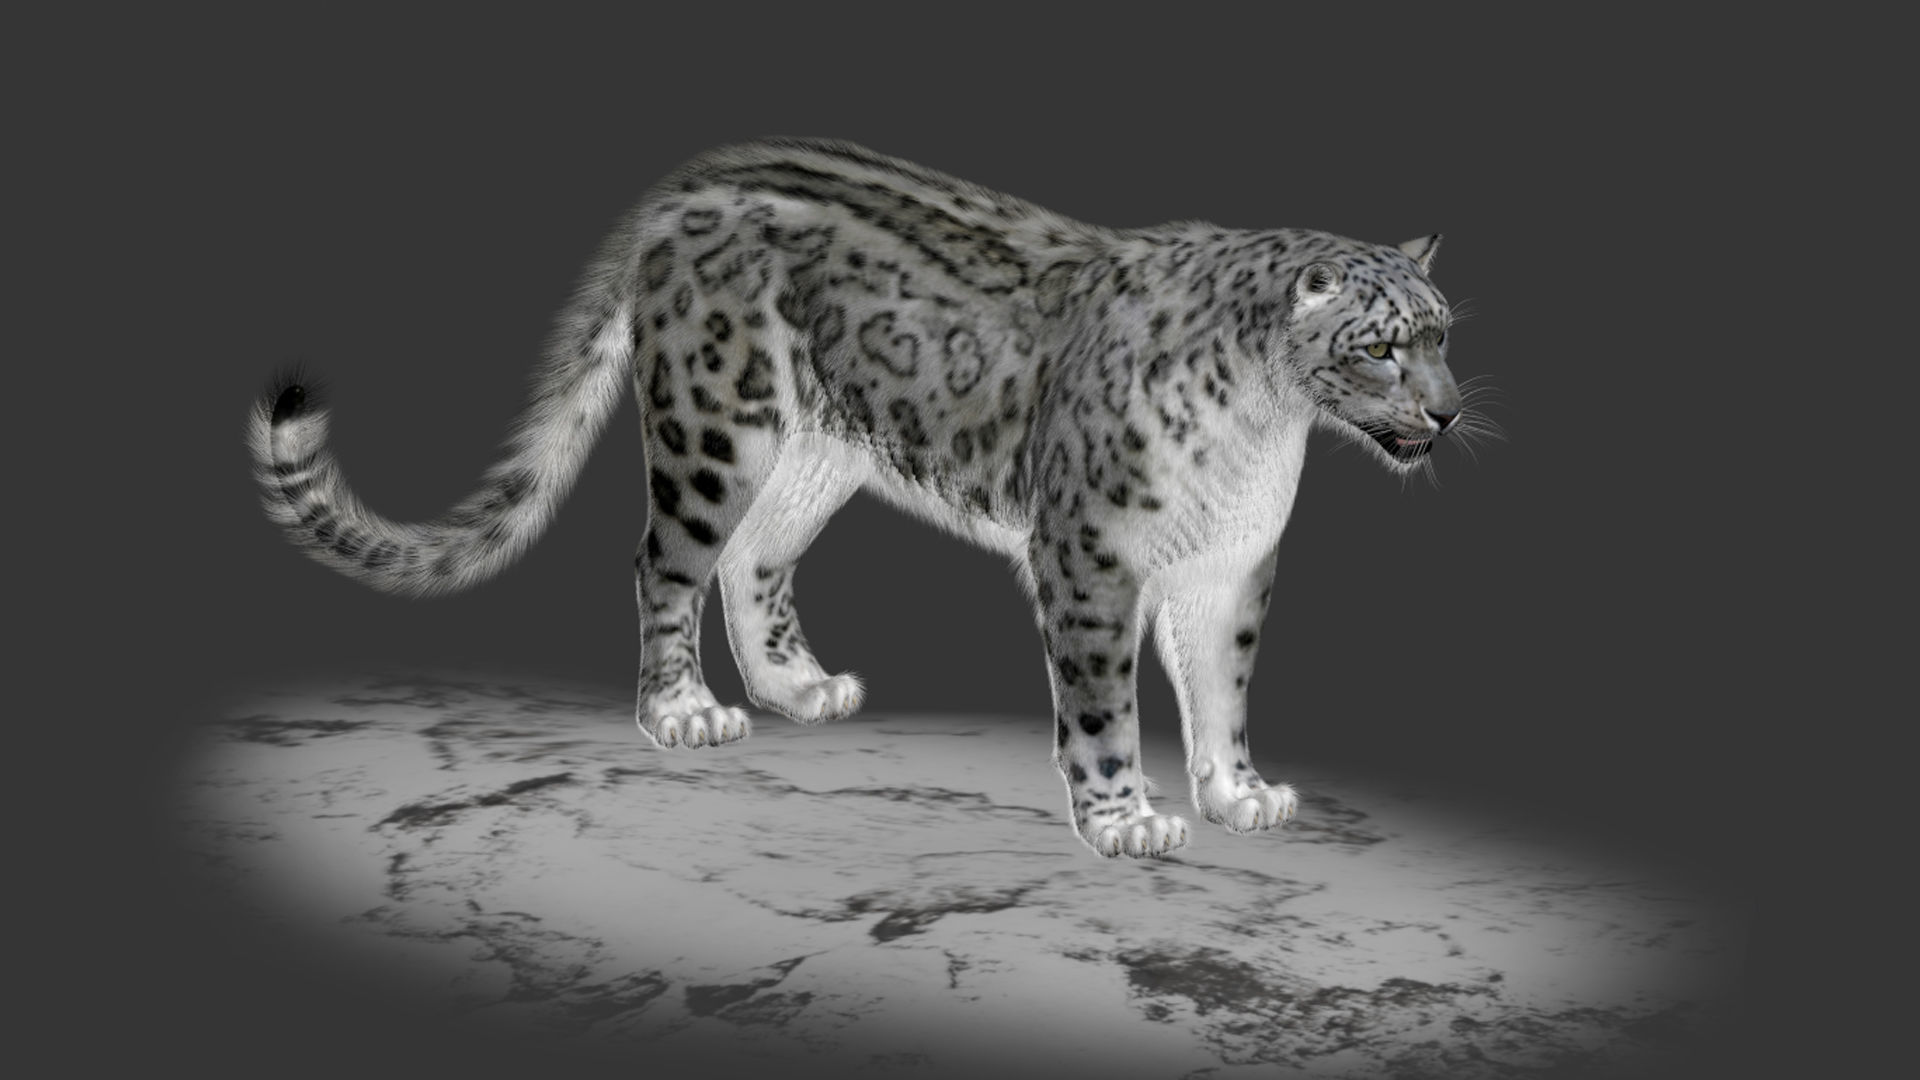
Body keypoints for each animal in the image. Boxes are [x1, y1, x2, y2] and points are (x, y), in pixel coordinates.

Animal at [248, 137, 1482, 859]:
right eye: (1381, 348)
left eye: (1443, 335)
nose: (1449, 413)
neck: (1265, 439)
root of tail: (682, 188)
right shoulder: (1092, 559)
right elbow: (1103, 708)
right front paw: (1126, 818)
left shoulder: (1231, 569)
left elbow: (1222, 690)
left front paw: (1239, 793)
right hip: (715, 427)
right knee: (666, 561)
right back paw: (682, 711)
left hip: (812, 454)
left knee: (753, 558)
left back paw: (798, 687)